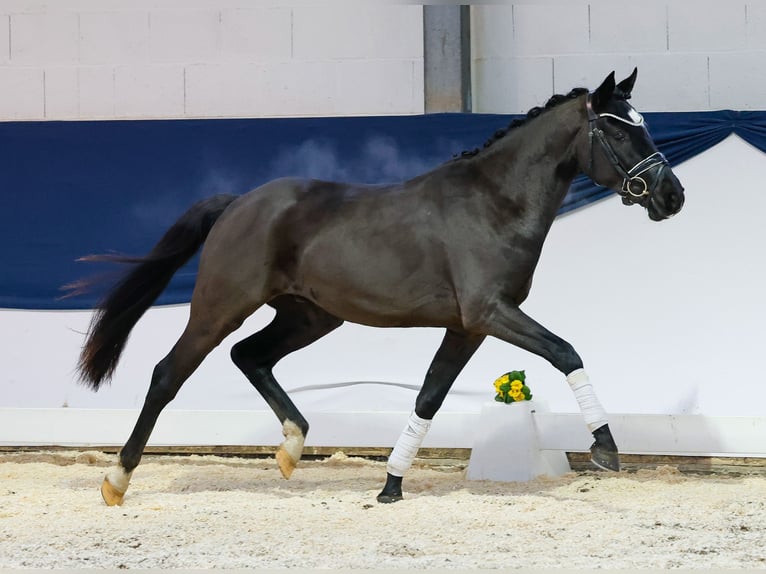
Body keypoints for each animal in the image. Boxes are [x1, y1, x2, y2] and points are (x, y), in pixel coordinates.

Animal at [66, 70, 688, 506]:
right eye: (617, 127)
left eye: (644, 123)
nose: (671, 196)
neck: (495, 202)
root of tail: (239, 203)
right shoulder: (491, 312)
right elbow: (566, 352)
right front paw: (605, 449)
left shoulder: (467, 326)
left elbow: (429, 396)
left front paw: (390, 485)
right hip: (220, 308)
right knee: (167, 374)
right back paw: (116, 481)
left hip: (309, 316)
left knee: (250, 356)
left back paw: (292, 448)